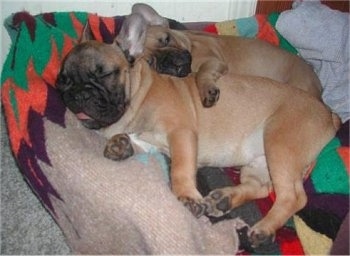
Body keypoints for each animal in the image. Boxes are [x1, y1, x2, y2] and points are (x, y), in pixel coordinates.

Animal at [119, 3, 322, 107]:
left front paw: (207, 90)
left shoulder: (213, 61)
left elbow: (201, 73)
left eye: (167, 39)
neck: (190, 43)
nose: (171, 62)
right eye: (150, 62)